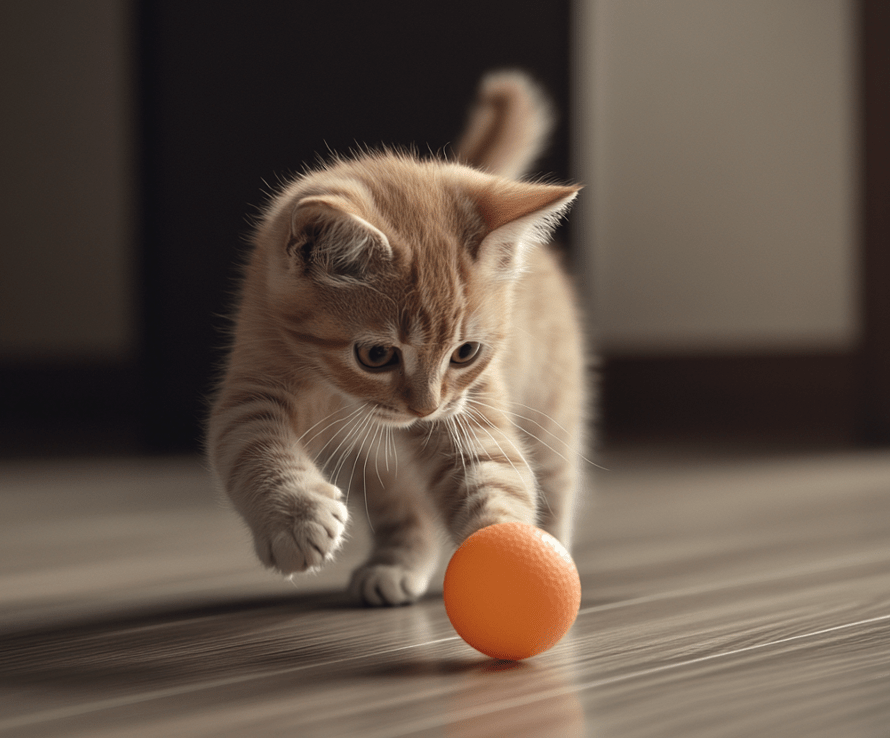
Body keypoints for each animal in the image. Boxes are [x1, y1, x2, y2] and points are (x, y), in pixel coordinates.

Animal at [205, 72, 588, 604]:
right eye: (376, 355)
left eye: (465, 353)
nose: (423, 409)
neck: (339, 394)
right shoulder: (254, 381)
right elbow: (250, 445)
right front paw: (298, 517)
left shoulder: (466, 411)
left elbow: (497, 474)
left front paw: (511, 559)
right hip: (380, 468)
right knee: (407, 511)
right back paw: (395, 565)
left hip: (550, 410)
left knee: (555, 480)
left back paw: (554, 547)